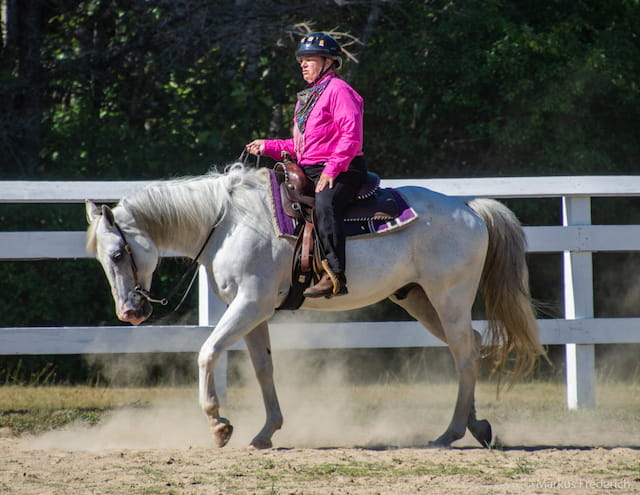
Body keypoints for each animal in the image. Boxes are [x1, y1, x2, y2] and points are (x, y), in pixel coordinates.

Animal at [85, 166, 544, 450]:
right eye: (105, 258)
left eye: (118, 254)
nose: (129, 313)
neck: (229, 222)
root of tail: (469, 208)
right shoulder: (253, 311)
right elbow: (263, 368)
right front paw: (266, 432)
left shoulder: (249, 304)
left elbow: (207, 352)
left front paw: (219, 425)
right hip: (420, 298)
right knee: (471, 344)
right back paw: (476, 425)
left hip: (448, 297)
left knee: (465, 353)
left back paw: (450, 432)